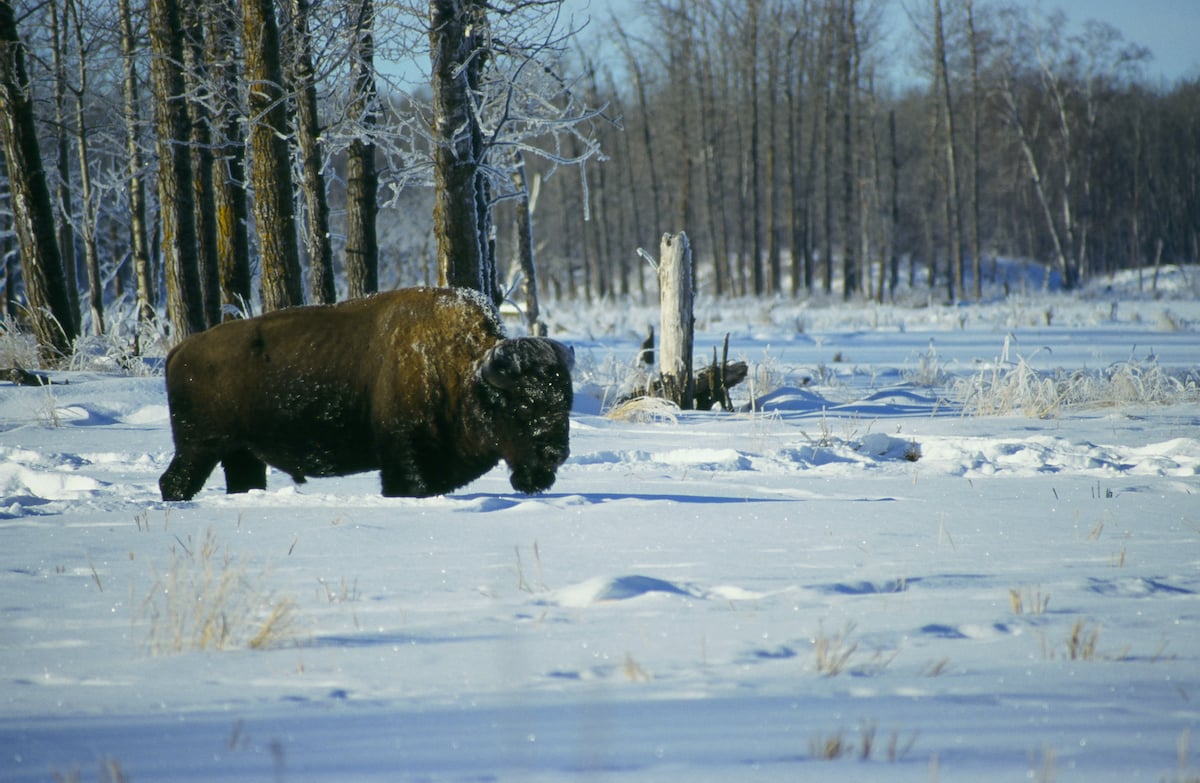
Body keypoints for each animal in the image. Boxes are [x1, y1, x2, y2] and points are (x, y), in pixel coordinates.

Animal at [159, 287, 573, 500]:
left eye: (566, 404)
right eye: (523, 405)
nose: (556, 454)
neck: (465, 374)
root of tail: (179, 351)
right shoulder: (404, 460)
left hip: (239, 453)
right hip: (199, 448)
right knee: (174, 482)